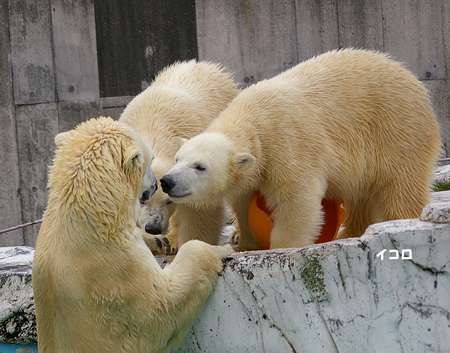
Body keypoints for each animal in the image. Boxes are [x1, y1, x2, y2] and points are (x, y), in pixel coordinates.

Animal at [33, 117, 234, 352]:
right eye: (151, 159)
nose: (157, 184)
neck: (90, 216)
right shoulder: (115, 272)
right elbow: (161, 307)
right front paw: (218, 248)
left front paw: (159, 241)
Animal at [160, 48, 442, 250]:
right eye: (177, 158)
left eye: (200, 167)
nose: (167, 181)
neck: (253, 119)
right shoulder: (252, 171)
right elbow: (243, 203)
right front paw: (245, 244)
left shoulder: (287, 143)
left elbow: (295, 199)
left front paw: (281, 246)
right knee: (360, 195)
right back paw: (349, 231)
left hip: (397, 130)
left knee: (400, 186)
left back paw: (396, 220)